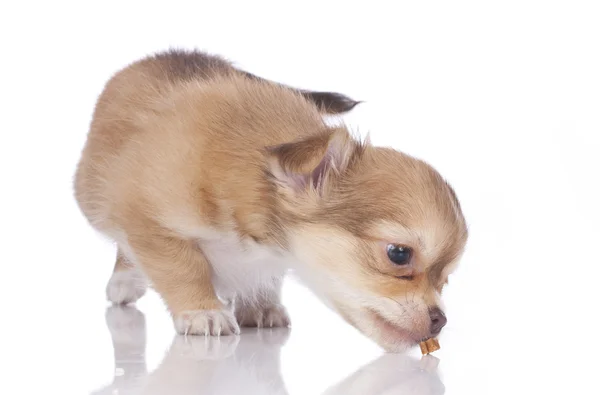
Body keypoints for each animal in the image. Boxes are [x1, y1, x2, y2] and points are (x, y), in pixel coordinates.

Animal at [74, 49, 468, 352]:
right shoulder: (150, 222)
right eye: (398, 254)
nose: (441, 320)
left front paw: (259, 305)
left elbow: (266, 277)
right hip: (94, 199)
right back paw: (126, 281)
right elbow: (183, 268)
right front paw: (203, 311)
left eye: (446, 279)